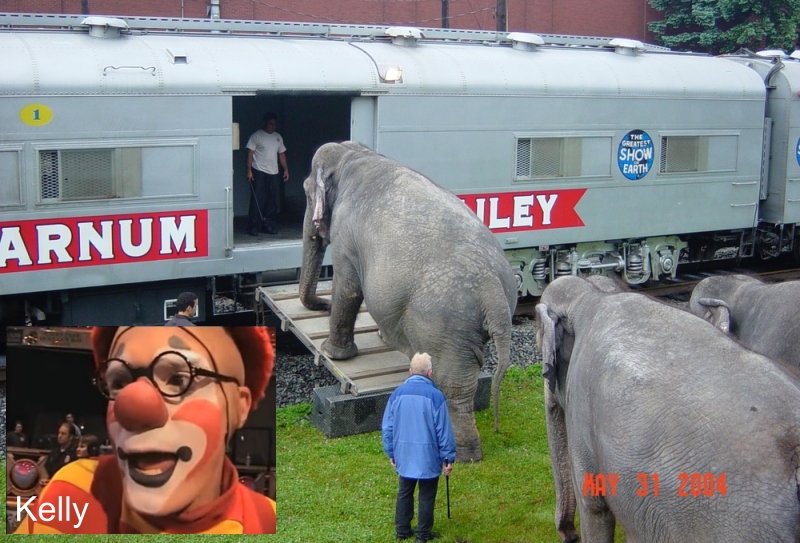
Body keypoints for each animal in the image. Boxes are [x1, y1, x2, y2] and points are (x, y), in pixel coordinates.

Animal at [296, 141, 516, 464]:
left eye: (305, 190)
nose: (322, 305)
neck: (356, 155)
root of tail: (493, 293)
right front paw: (378, 338)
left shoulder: (346, 235)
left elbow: (348, 286)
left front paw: (334, 354)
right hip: (467, 331)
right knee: (465, 380)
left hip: (446, 325)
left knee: (454, 388)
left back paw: (462, 456)